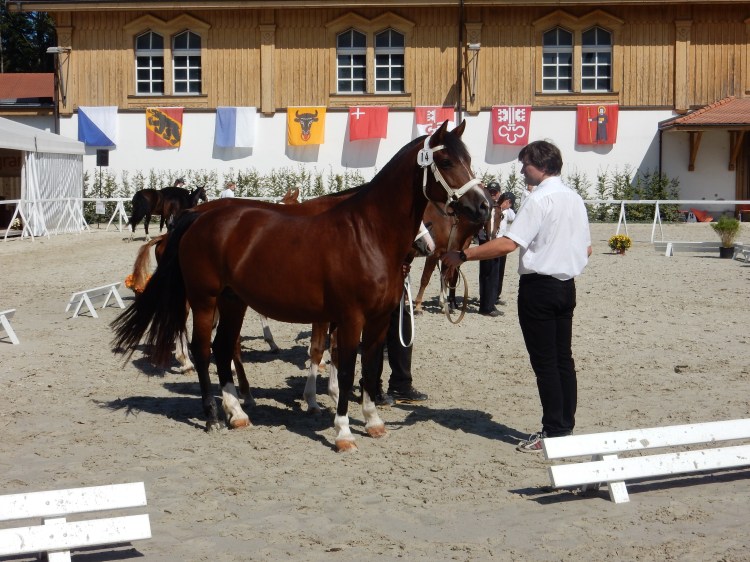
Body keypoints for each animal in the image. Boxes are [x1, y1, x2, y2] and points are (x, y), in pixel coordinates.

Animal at [112, 120, 490, 452]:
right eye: (446, 161)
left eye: (469, 159)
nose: (483, 207)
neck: (368, 234)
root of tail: (198, 218)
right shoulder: (350, 318)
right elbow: (345, 369)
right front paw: (343, 433)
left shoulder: (379, 319)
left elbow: (369, 367)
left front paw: (373, 422)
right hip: (205, 300)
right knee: (203, 350)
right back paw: (213, 416)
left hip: (233, 302)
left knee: (223, 348)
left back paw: (238, 412)